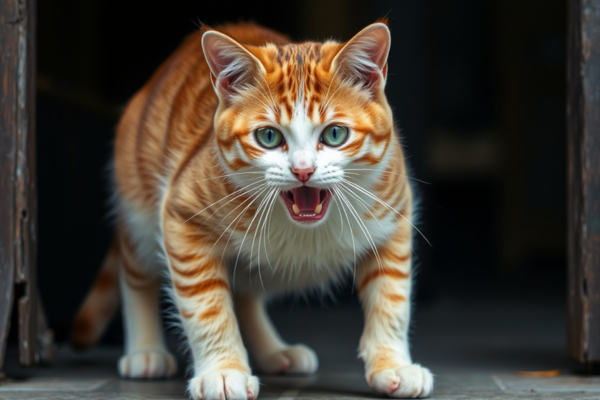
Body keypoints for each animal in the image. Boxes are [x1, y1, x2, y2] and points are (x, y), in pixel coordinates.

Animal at [72, 20, 434, 398]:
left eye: (335, 134)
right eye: (269, 137)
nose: (303, 170)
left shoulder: (395, 213)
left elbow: (391, 298)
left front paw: (393, 364)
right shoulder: (180, 214)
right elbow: (207, 305)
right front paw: (223, 370)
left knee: (244, 291)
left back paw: (275, 352)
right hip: (139, 206)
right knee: (136, 272)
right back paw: (145, 351)